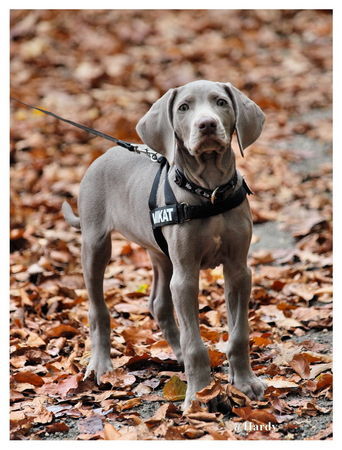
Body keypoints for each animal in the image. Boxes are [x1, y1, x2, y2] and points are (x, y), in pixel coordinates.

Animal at [62, 79, 266, 410]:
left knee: (158, 303)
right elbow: (195, 343)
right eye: (183, 107)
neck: (209, 192)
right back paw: (101, 365)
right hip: (95, 245)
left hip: (161, 255)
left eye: (221, 102)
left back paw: (177, 355)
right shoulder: (186, 276)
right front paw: (199, 395)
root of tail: (101, 157)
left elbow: (239, 334)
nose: (207, 124)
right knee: (98, 309)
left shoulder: (238, 269)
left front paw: (246, 383)